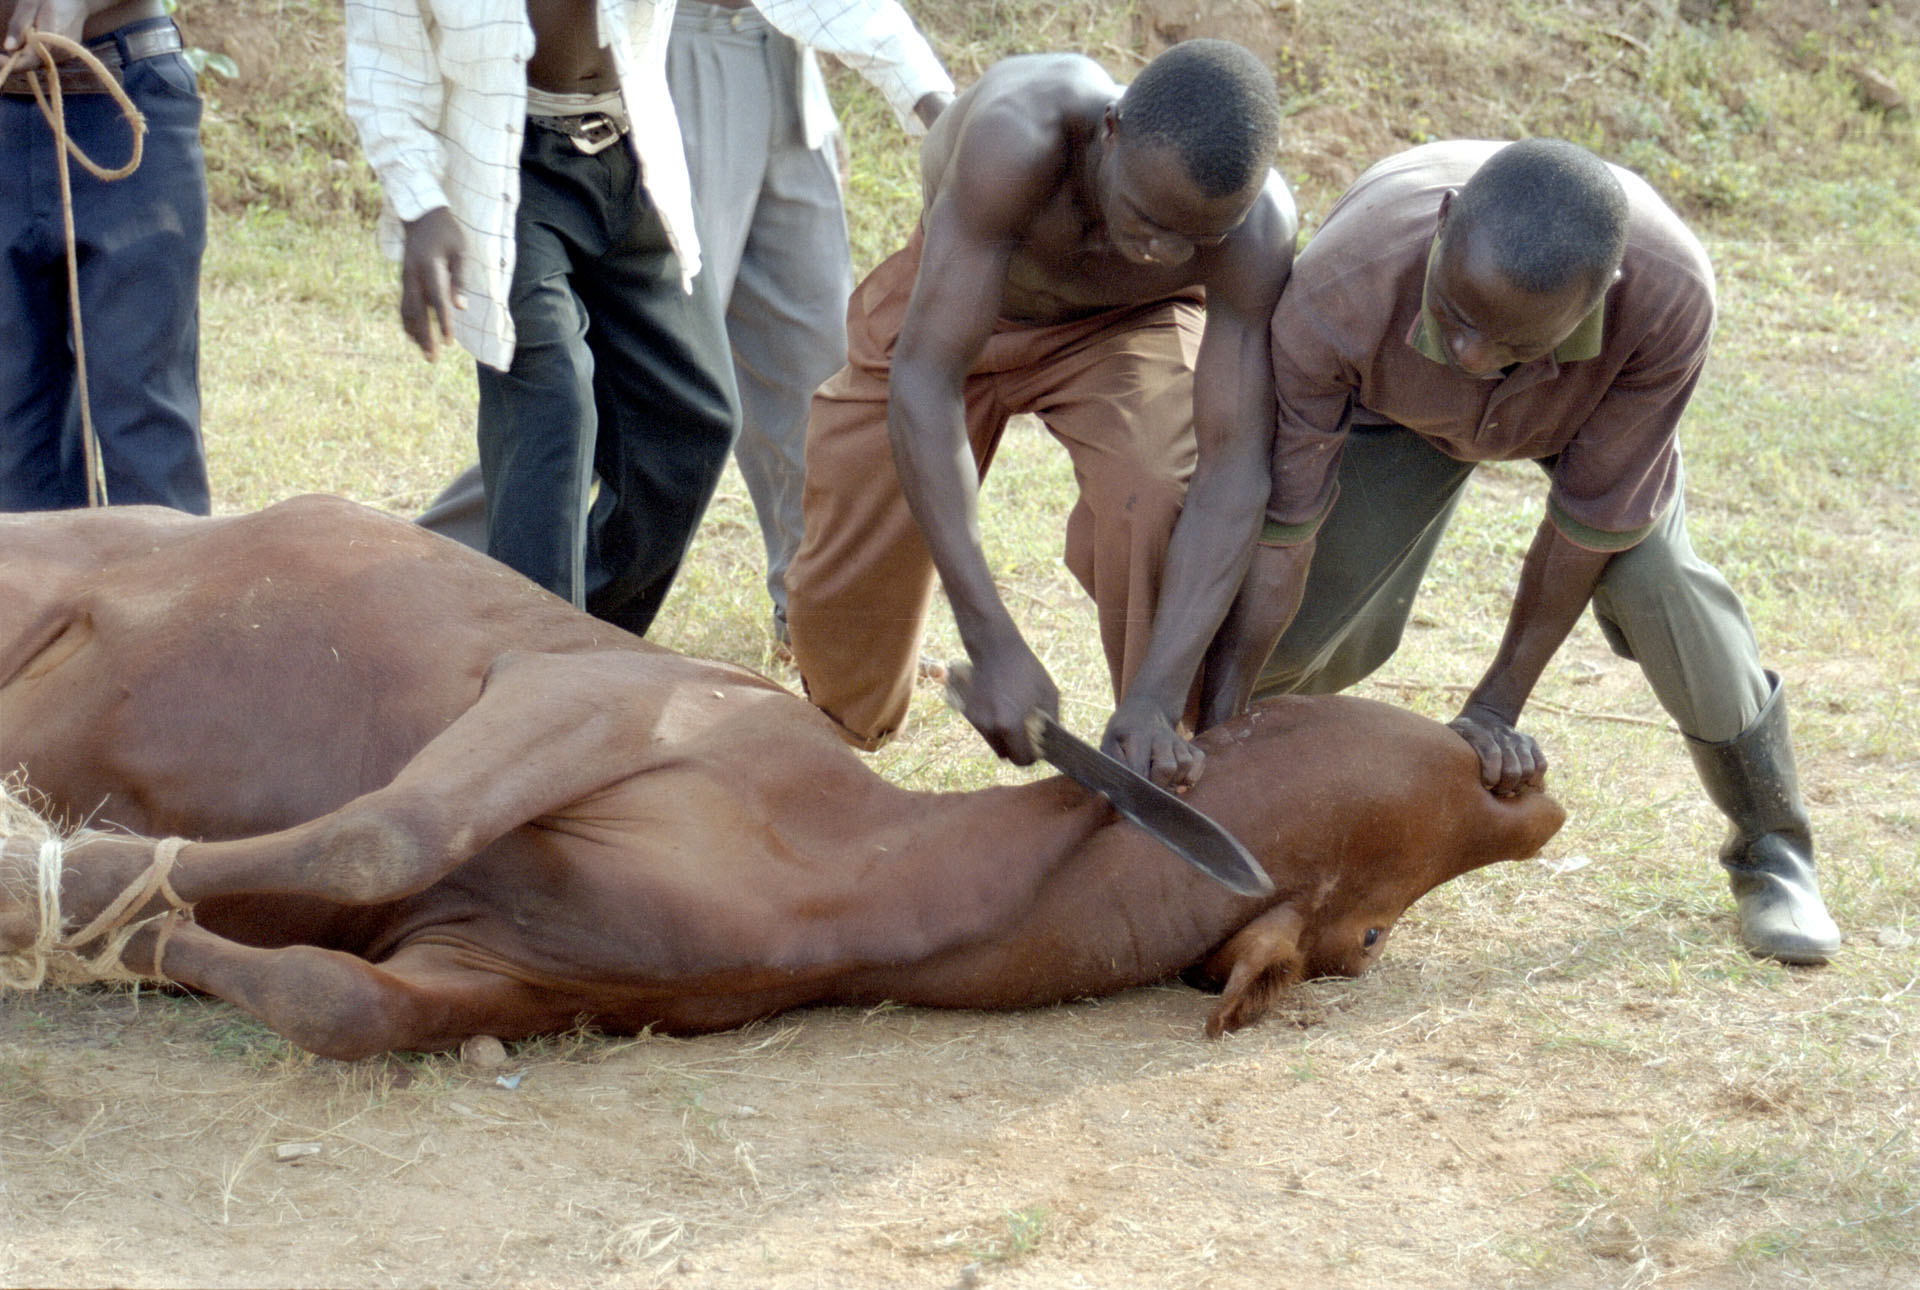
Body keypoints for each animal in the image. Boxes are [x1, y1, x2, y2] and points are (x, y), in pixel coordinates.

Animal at [0, 495, 1559, 1059]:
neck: (858, 880)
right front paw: (44, 879)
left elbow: (334, 996)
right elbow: (387, 830)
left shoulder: (484, 979)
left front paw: (106, 921)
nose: (1535, 801)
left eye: (1368, 937)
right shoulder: (599, 700)